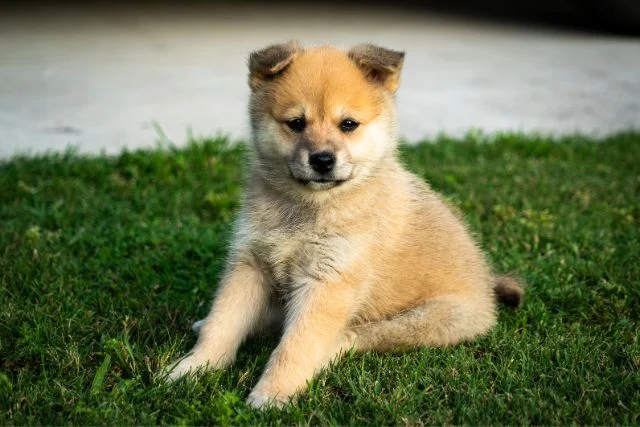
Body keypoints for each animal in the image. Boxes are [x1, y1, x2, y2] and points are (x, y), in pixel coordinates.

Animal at [164, 41, 524, 410]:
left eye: (348, 124)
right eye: (296, 123)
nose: (322, 160)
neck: (308, 207)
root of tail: (486, 285)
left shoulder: (329, 281)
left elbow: (296, 345)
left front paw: (273, 393)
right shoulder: (251, 264)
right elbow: (223, 323)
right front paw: (193, 367)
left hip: (426, 320)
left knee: (349, 338)